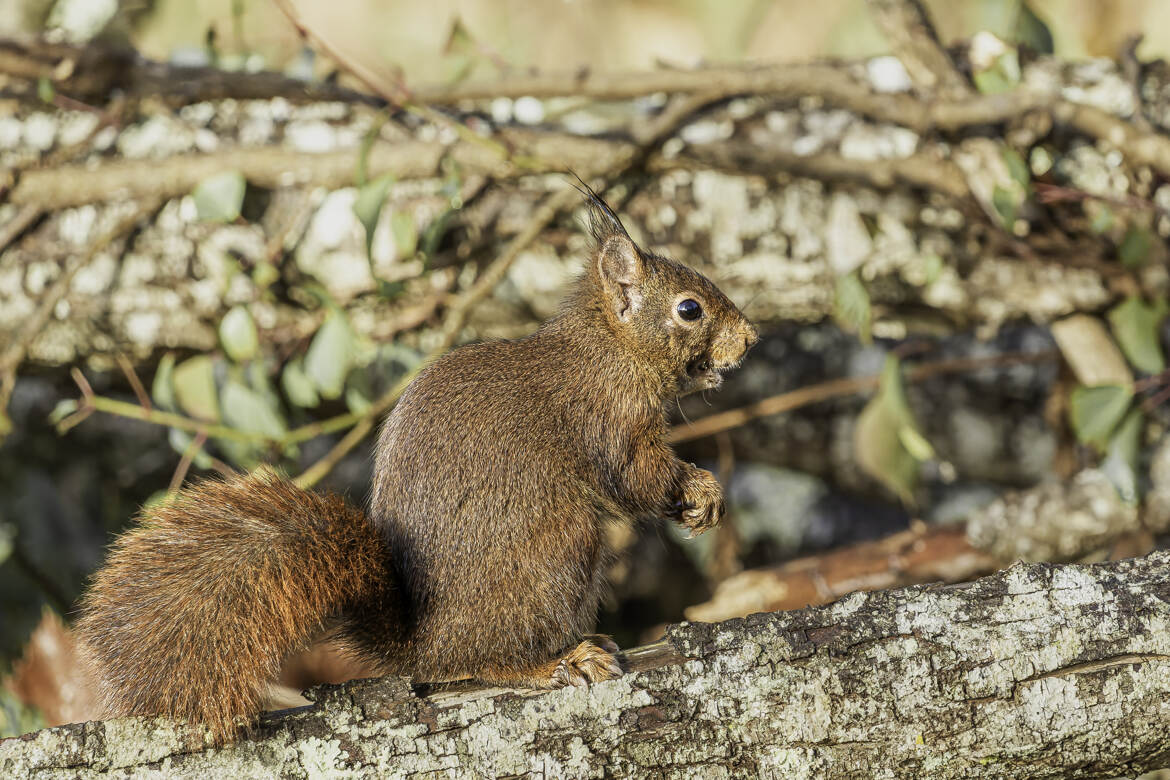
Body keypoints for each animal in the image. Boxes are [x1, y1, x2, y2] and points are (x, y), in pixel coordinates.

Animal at [77, 187, 762, 743]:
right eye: (690, 309)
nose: (752, 338)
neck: (610, 350)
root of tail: (420, 644)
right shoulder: (610, 422)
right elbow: (637, 478)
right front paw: (700, 488)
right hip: (559, 551)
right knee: (481, 663)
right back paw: (559, 661)